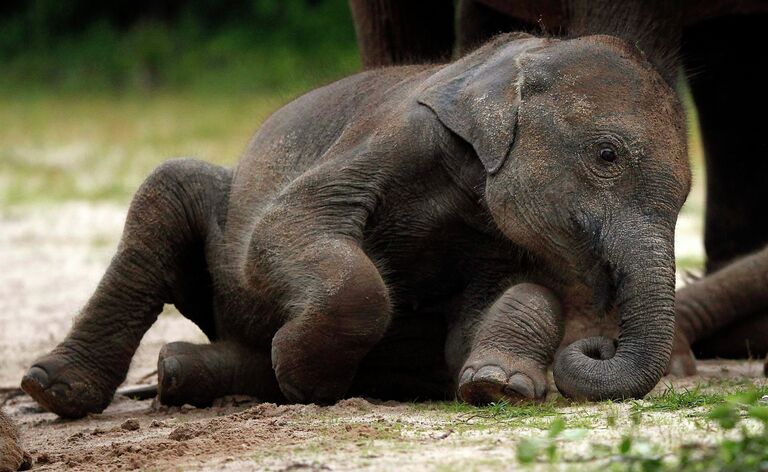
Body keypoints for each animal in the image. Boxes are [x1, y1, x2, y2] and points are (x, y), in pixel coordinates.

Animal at [22, 33, 688, 418]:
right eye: (606, 155)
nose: (599, 343)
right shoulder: (397, 134)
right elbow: (285, 229)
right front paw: (306, 374)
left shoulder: (496, 228)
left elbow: (485, 317)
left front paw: (500, 385)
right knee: (169, 189)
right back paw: (55, 391)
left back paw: (183, 373)